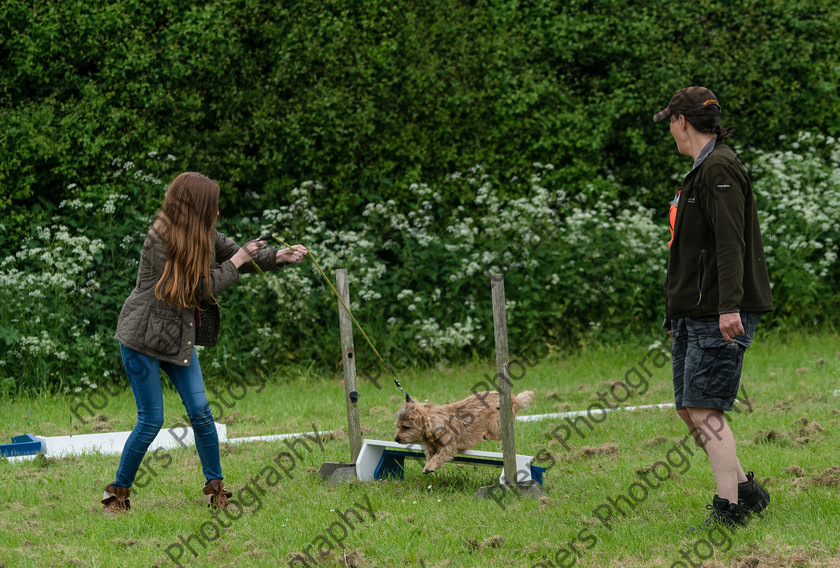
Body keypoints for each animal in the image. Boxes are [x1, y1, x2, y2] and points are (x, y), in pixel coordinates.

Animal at [392, 390, 532, 474]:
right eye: (397, 426)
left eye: (405, 427)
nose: (396, 439)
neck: (433, 424)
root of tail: (513, 399)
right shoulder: (430, 447)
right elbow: (430, 455)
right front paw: (427, 464)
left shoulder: (448, 446)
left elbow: (438, 456)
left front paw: (429, 466)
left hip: (496, 423)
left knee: (499, 433)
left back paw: (487, 435)